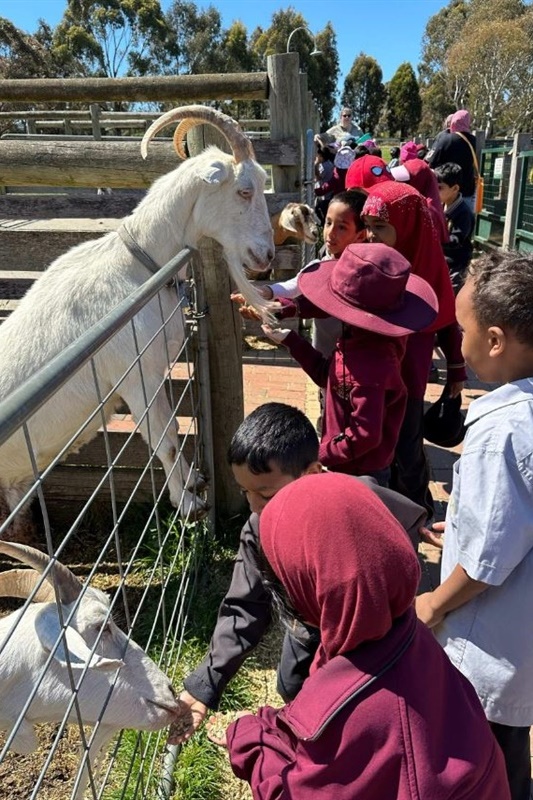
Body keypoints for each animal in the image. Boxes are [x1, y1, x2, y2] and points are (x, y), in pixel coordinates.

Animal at [0, 103, 274, 536]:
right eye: (243, 191)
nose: (266, 256)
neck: (140, 265)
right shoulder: (135, 376)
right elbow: (164, 438)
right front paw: (189, 504)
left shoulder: (153, 372)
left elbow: (173, 430)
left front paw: (194, 480)